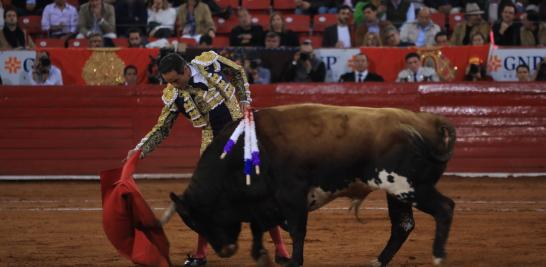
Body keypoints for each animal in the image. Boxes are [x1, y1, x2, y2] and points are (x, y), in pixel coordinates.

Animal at [168, 104, 452, 267]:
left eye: (196, 220)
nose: (226, 251)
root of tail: (430, 122)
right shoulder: (264, 202)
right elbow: (260, 227)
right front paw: (262, 254)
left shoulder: (291, 196)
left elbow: (296, 230)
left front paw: (294, 262)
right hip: (397, 192)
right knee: (403, 225)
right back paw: (379, 261)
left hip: (409, 186)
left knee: (444, 207)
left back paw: (438, 255)